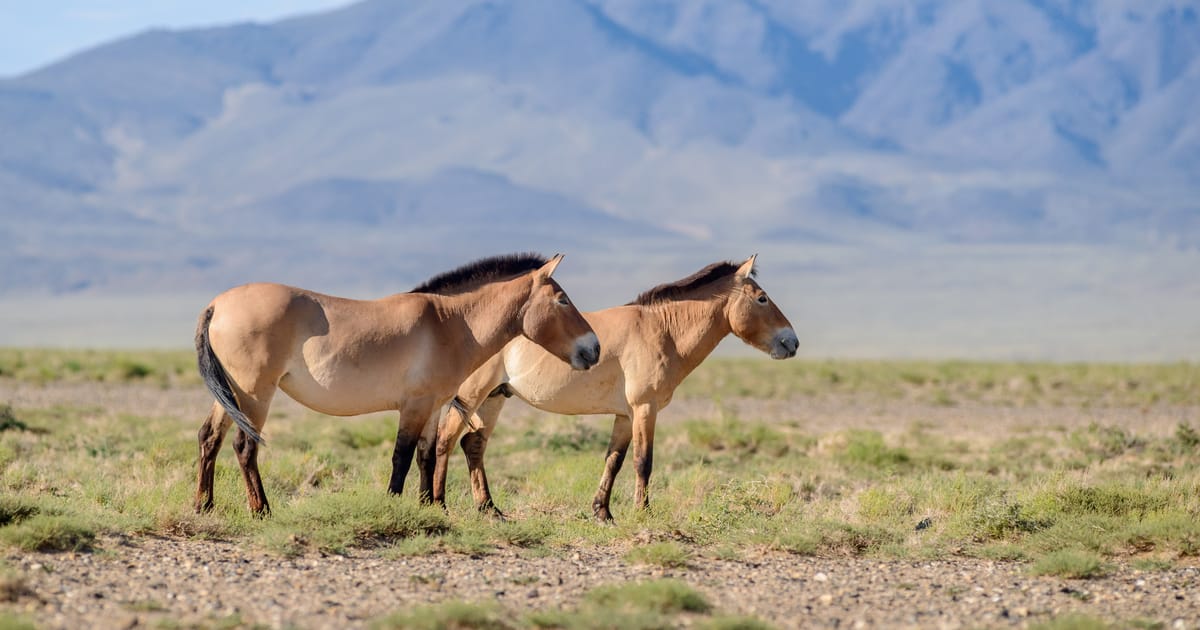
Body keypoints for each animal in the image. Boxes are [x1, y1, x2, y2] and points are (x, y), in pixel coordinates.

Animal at [193, 253, 600, 513]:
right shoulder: (414, 406)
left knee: (209, 437)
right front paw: (393, 506)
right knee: (244, 446)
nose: (593, 349)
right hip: (255, 394)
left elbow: (426, 455)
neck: (450, 323)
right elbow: (401, 457)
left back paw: (204, 506)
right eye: (563, 300)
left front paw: (431, 509)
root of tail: (216, 305)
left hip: (231, 393)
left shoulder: (433, 406)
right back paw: (261, 509)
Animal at [432, 255, 796, 520]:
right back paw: (438, 504)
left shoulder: (625, 415)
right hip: (472, 396)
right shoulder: (645, 409)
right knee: (446, 441)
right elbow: (643, 461)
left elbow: (614, 460)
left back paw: (489, 509)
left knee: (472, 445)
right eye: (762, 298)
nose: (792, 342)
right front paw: (642, 512)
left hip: (494, 398)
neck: (662, 330)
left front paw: (602, 512)